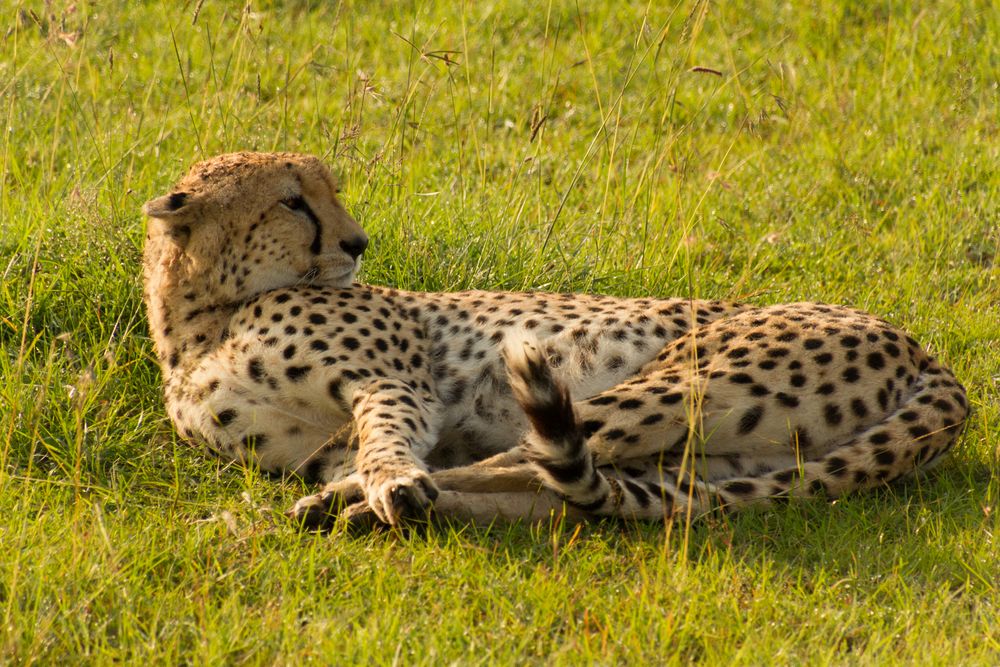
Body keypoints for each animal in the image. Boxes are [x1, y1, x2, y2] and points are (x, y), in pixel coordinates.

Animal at [143, 154, 968, 528]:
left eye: (327, 191)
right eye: (292, 201)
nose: (357, 242)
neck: (199, 322)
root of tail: (925, 351)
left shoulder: (394, 384)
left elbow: (388, 442)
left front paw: (387, 481)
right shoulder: (319, 439)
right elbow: (374, 449)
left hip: (680, 379)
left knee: (525, 457)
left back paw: (361, 501)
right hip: (717, 457)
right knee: (559, 492)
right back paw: (371, 505)